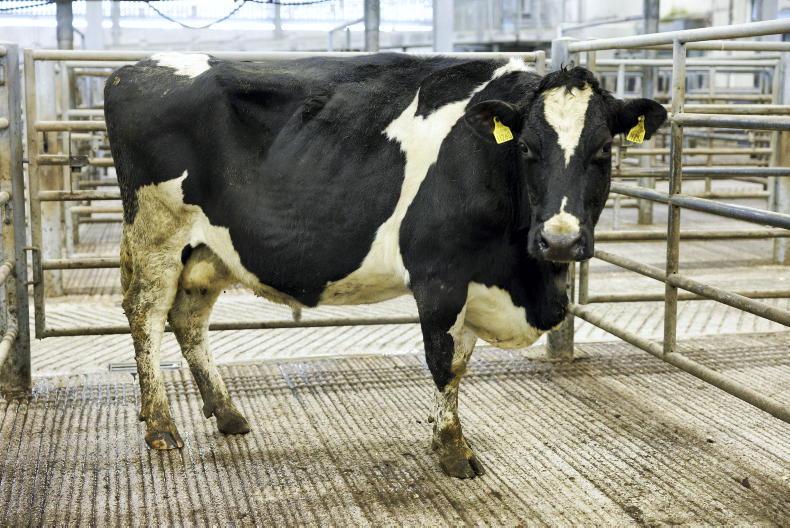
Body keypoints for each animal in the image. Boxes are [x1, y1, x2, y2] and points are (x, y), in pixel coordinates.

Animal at [104, 52, 666, 478]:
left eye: (604, 150)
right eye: (526, 147)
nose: (560, 240)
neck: (524, 281)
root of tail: (132, 68)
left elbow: (461, 360)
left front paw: (444, 439)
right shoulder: (439, 275)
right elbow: (445, 362)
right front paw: (453, 451)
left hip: (209, 250)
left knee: (188, 320)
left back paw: (227, 413)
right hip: (158, 229)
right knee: (147, 315)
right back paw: (161, 426)